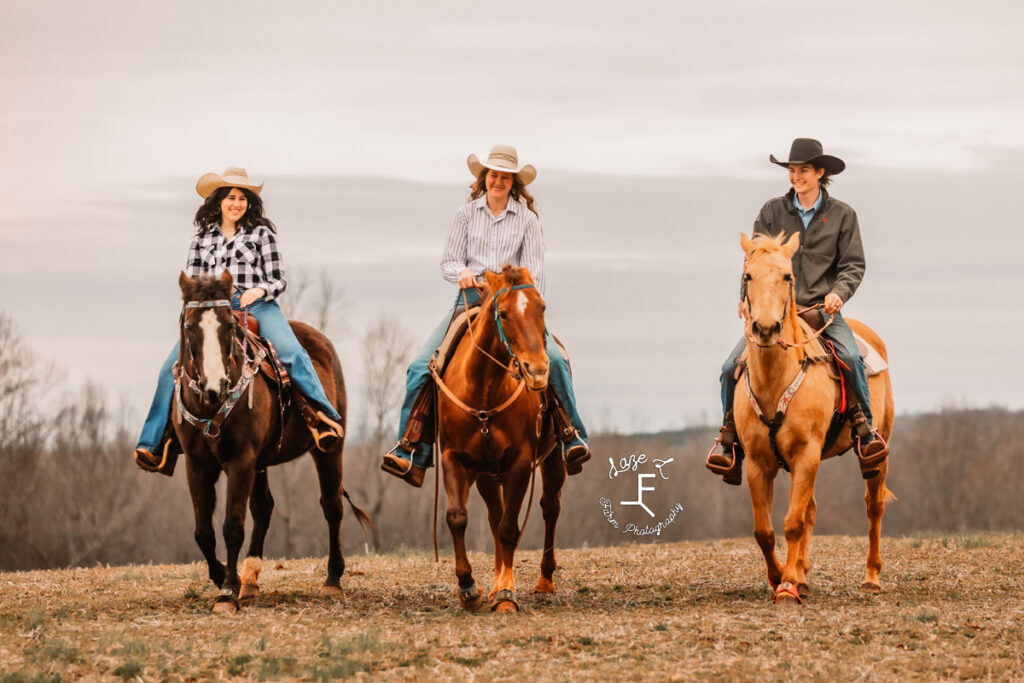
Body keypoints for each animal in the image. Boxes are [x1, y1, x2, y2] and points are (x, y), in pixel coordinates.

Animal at [174, 270, 370, 614]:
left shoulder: (240, 460)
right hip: (261, 463)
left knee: (332, 506)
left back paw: (332, 579)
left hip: (329, 451)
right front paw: (224, 577)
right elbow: (204, 532)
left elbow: (232, 526)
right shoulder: (197, 464)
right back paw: (250, 579)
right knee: (264, 508)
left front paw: (227, 592)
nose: (215, 386)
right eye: (189, 326)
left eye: (229, 326)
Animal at [432, 266, 561, 614]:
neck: (484, 388)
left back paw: (544, 580)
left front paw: (506, 593)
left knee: (549, 508)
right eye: (503, 313)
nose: (537, 371)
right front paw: (469, 588)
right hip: (487, 475)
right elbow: (458, 517)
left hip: (554, 460)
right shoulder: (455, 458)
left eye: (542, 308)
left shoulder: (520, 463)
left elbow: (508, 529)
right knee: (494, 515)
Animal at [737, 232, 897, 606]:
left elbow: (793, 523)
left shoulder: (806, 454)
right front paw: (782, 576)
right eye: (749, 276)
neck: (775, 380)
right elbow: (764, 530)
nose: (766, 328)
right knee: (810, 510)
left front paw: (786, 587)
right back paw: (803, 574)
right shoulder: (758, 463)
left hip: (876, 452)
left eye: (787, 276)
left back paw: (871, 578)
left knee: (874, 506)